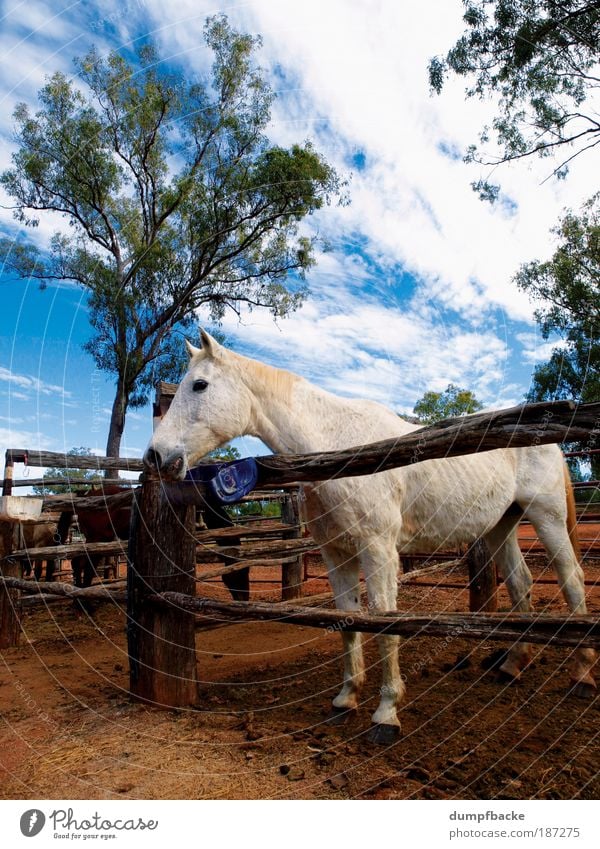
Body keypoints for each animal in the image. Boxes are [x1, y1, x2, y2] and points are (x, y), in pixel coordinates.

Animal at [145, 332, 596, 744]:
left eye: (199, 385)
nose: (155, 456)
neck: (336, 450)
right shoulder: (336, 555)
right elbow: (349, 621)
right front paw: (346, 699)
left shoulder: (377, 550)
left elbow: (383, 621)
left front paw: (386, 713)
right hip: (502, 525)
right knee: (521, 582)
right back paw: (512, 665)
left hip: (546, 517)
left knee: (572, 579)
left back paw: (583, 673)